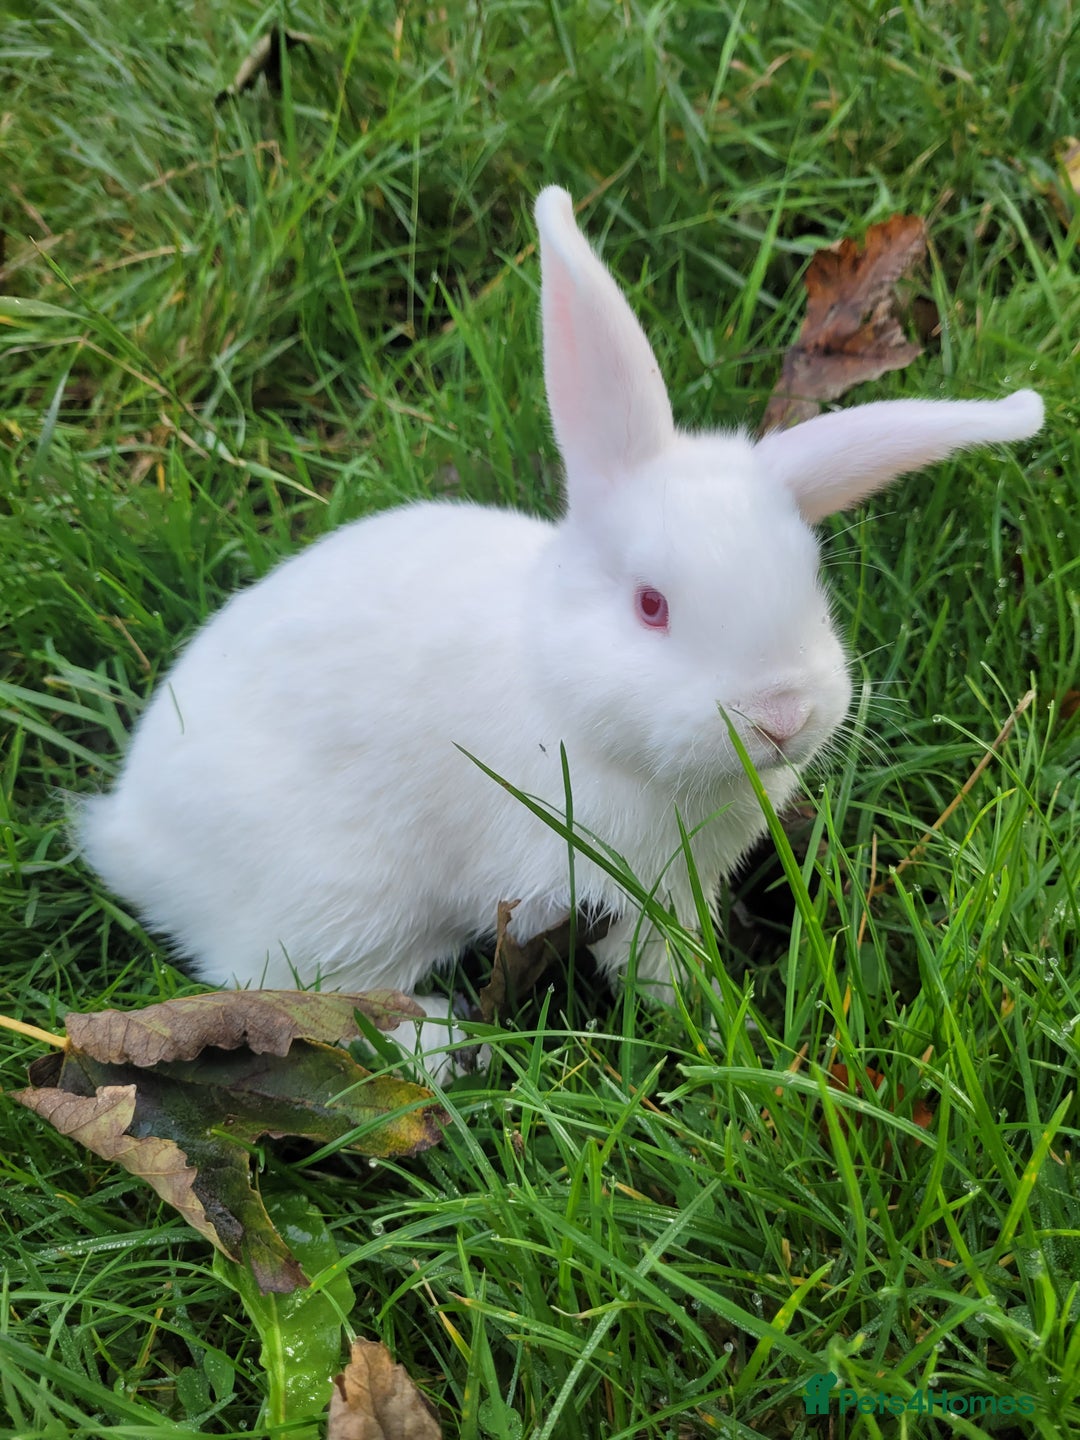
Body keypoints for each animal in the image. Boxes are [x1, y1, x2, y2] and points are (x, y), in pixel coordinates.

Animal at [78, 186, 1044, 1065]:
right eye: (651, 605)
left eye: (811, 581)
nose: (781, 716)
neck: (561, 689)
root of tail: (129, 831)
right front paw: (700, 1019)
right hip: (342, 897)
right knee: (313, 990)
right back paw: (442, 1044)